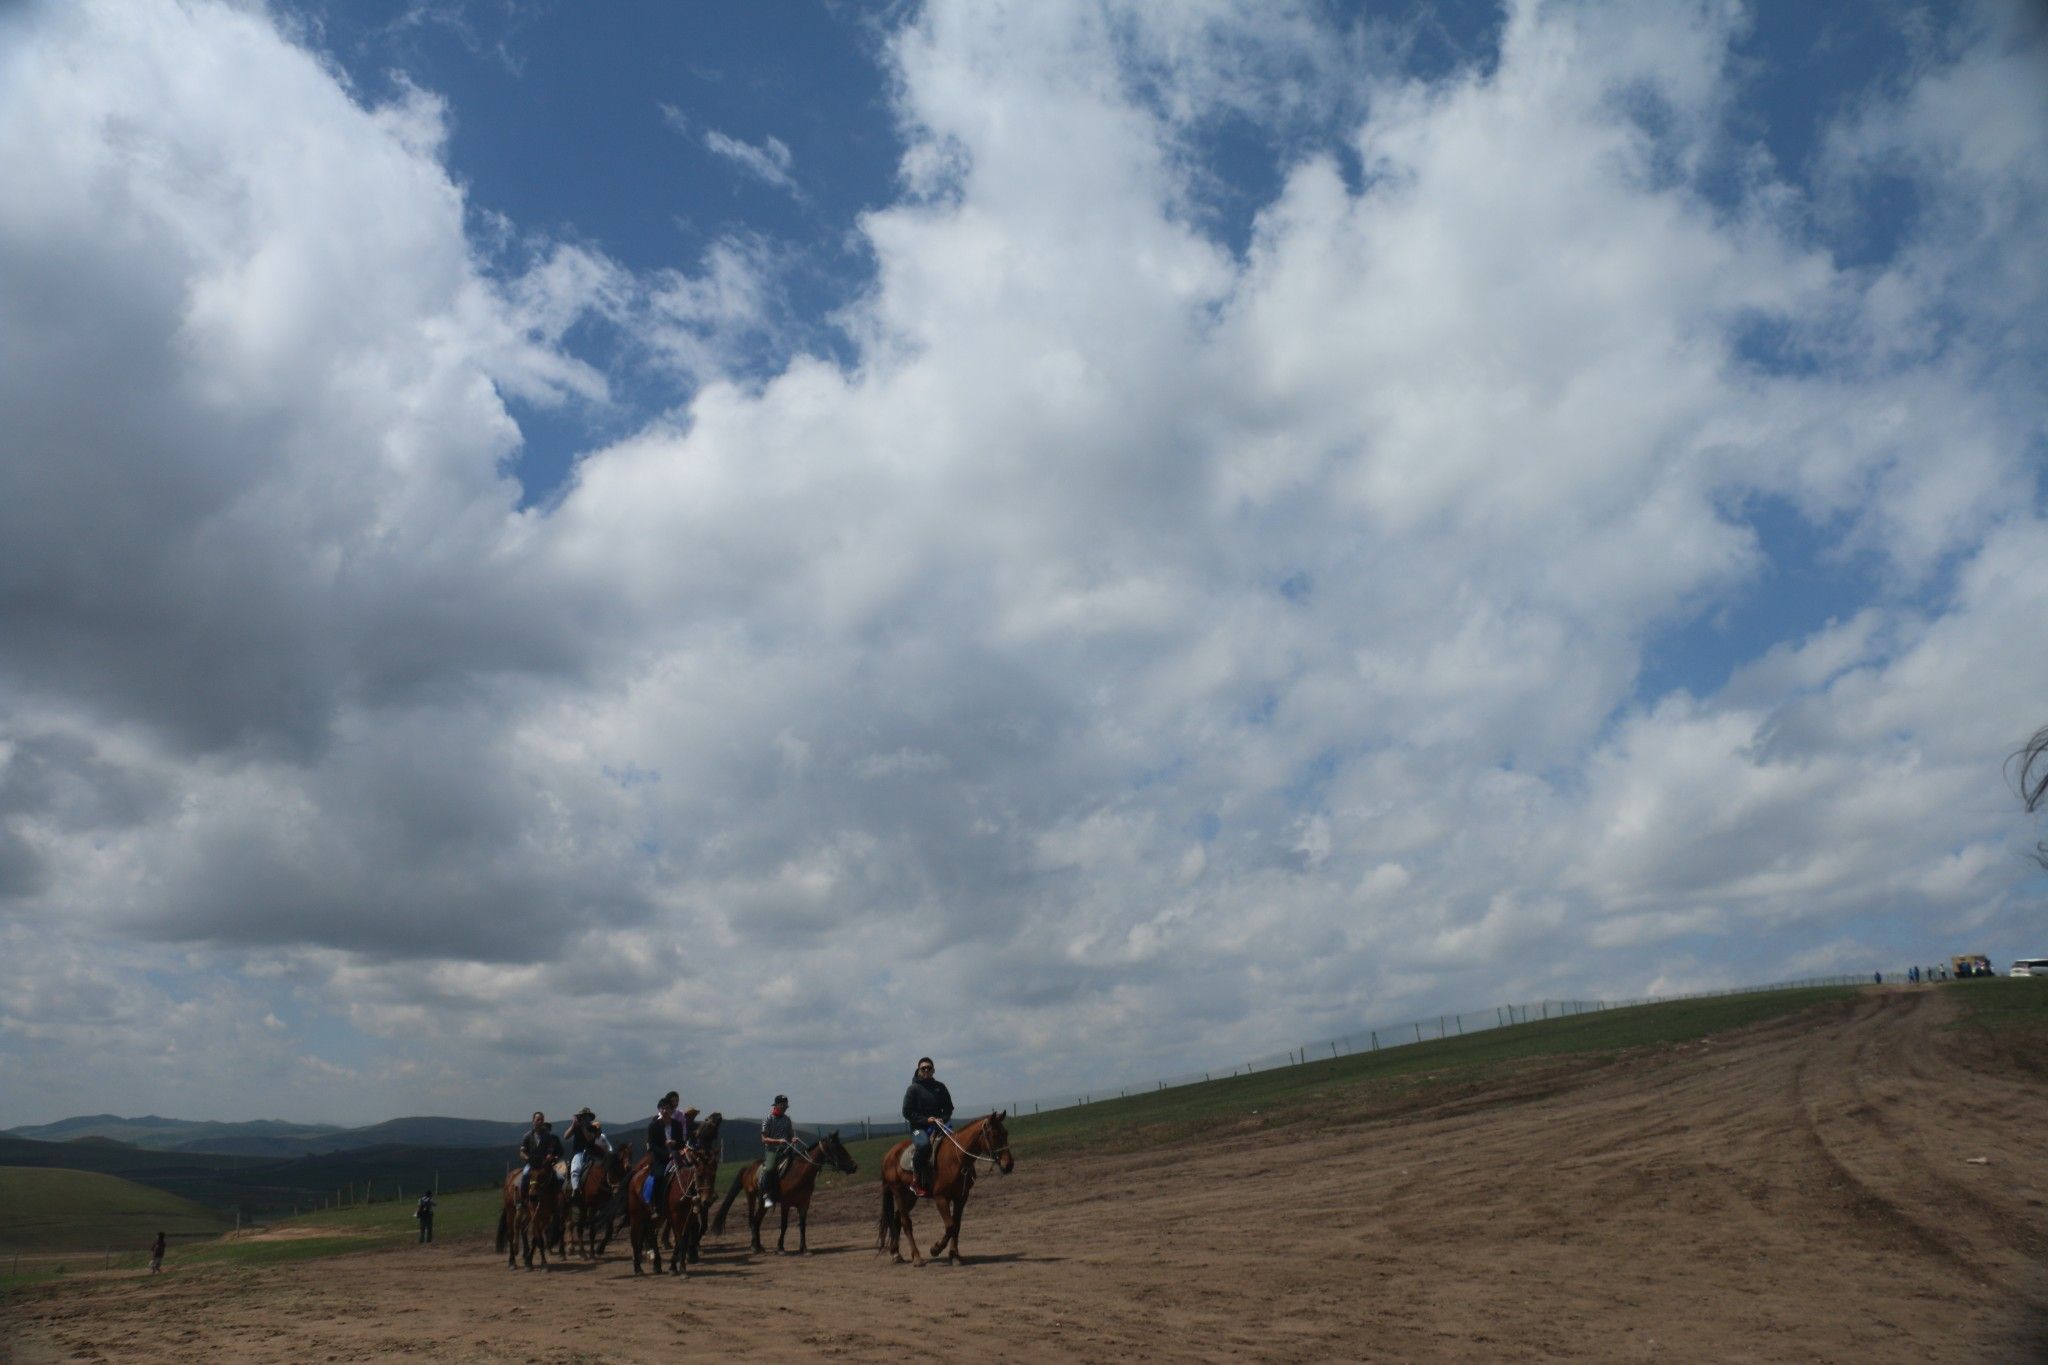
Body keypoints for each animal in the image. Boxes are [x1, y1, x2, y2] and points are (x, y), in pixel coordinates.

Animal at [712, 1129, 856, 1252]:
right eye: (838, 1148)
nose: (854, 1166)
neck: (799, 1173)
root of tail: (748, 1168)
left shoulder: (804, 1204)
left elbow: (802, 1225)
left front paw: (804, 1249)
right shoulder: (785, 1204)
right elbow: (784, 1225)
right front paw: (780, 1247)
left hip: (763, 1203)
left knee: (757, 1221)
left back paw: (759, 1246)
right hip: (751, 1196)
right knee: (752, 1220)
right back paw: (754, 1247)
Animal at [876, 1113, 1011, 1268]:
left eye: (1006, 1133)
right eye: (994, 1135)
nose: (1009, 1165)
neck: (956, 1158)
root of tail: (889, 1156)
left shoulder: (961, 1198)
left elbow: (956, 1226)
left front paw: (955, 1255)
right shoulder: (941, 1198)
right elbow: (950, 1226)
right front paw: (935, 1249)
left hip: (910, 1196)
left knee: (896, 1219)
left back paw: (896, 1253)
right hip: (898, 1193)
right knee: (906, 1223)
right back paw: (917, 1258)